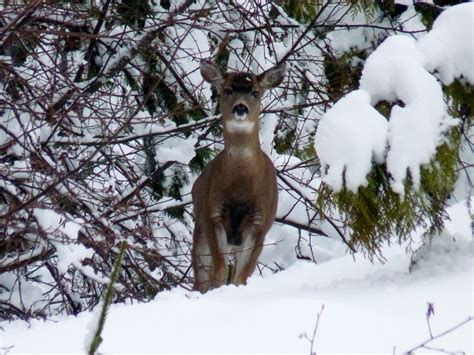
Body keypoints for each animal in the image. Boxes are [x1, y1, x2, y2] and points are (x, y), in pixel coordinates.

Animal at [192, 60, 286, 294]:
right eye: (227, 90)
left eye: (255, 92)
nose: (240, 108)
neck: (241, 190)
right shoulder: (212, 214)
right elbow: (219, 271)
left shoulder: (259, 224)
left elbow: (241, 277)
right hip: (200, 229)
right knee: (201, 278)